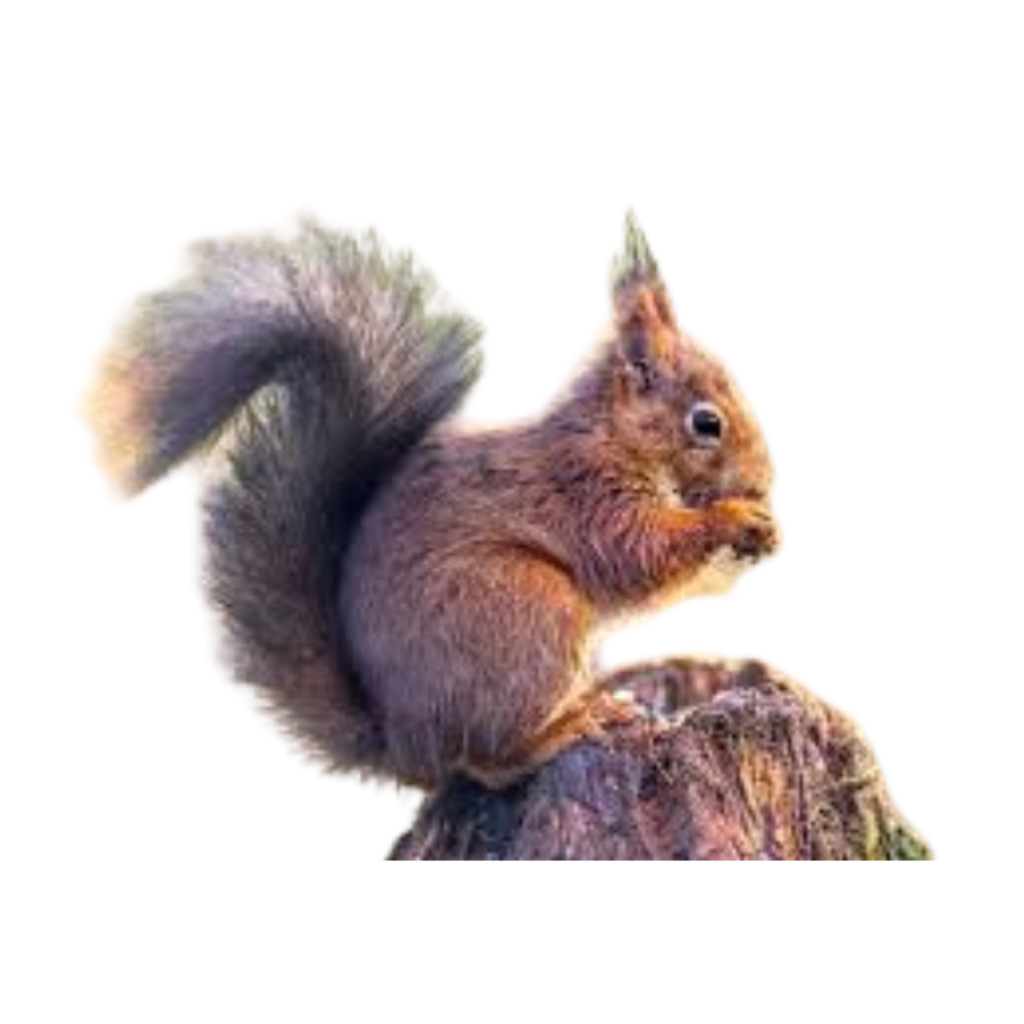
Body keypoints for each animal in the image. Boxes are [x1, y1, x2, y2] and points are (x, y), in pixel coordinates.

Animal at [69, 202, 786, 801]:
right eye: (706, 423)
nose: (766, 483)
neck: (613, 435)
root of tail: (405, 742)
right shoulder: (586, 492)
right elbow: (639, 553)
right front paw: (736, 519)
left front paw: (766, 532)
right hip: (529, 609)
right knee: (486, 762)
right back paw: (571, 726)